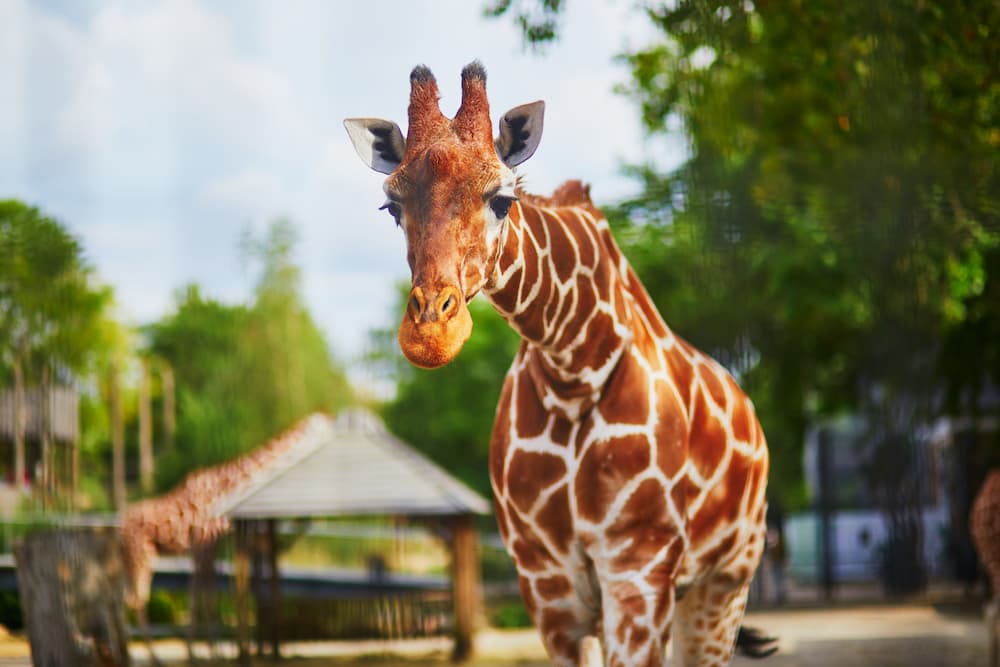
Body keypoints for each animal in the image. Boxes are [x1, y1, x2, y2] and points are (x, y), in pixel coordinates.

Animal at [119, 416, 316, 664]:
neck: (224, 487)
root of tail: (119, 526)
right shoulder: (204, 544)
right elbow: (204, 598)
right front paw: (202, 654)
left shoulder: (209, 548)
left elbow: (205, 596)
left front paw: (207, 653)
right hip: (142, 556)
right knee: (136, 599)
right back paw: (149, 657)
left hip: (130, 560)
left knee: (126, 597)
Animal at [345, 62, 772, 666]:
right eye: (391, 207)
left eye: (502, 199)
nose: (431, 336)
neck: (573, 363)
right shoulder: (548, 586)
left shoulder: (637, 569)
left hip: (724, 585)